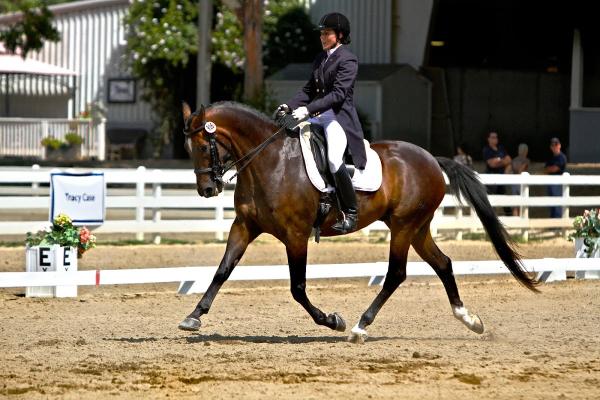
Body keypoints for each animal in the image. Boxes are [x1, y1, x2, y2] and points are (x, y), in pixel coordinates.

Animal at [178, 101, 540, 342]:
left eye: (203, 146)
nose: (207, 189)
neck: (269, 161)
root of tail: (432, 160)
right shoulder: (244, 226)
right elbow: (222, 270)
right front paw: (193, 317)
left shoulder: (295, 235)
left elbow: (297, 288)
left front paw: (332, 320)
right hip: (416, 228)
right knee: (443, 264)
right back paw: (469, 319)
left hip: (404, 226)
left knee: (396, 274)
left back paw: (359, 327)